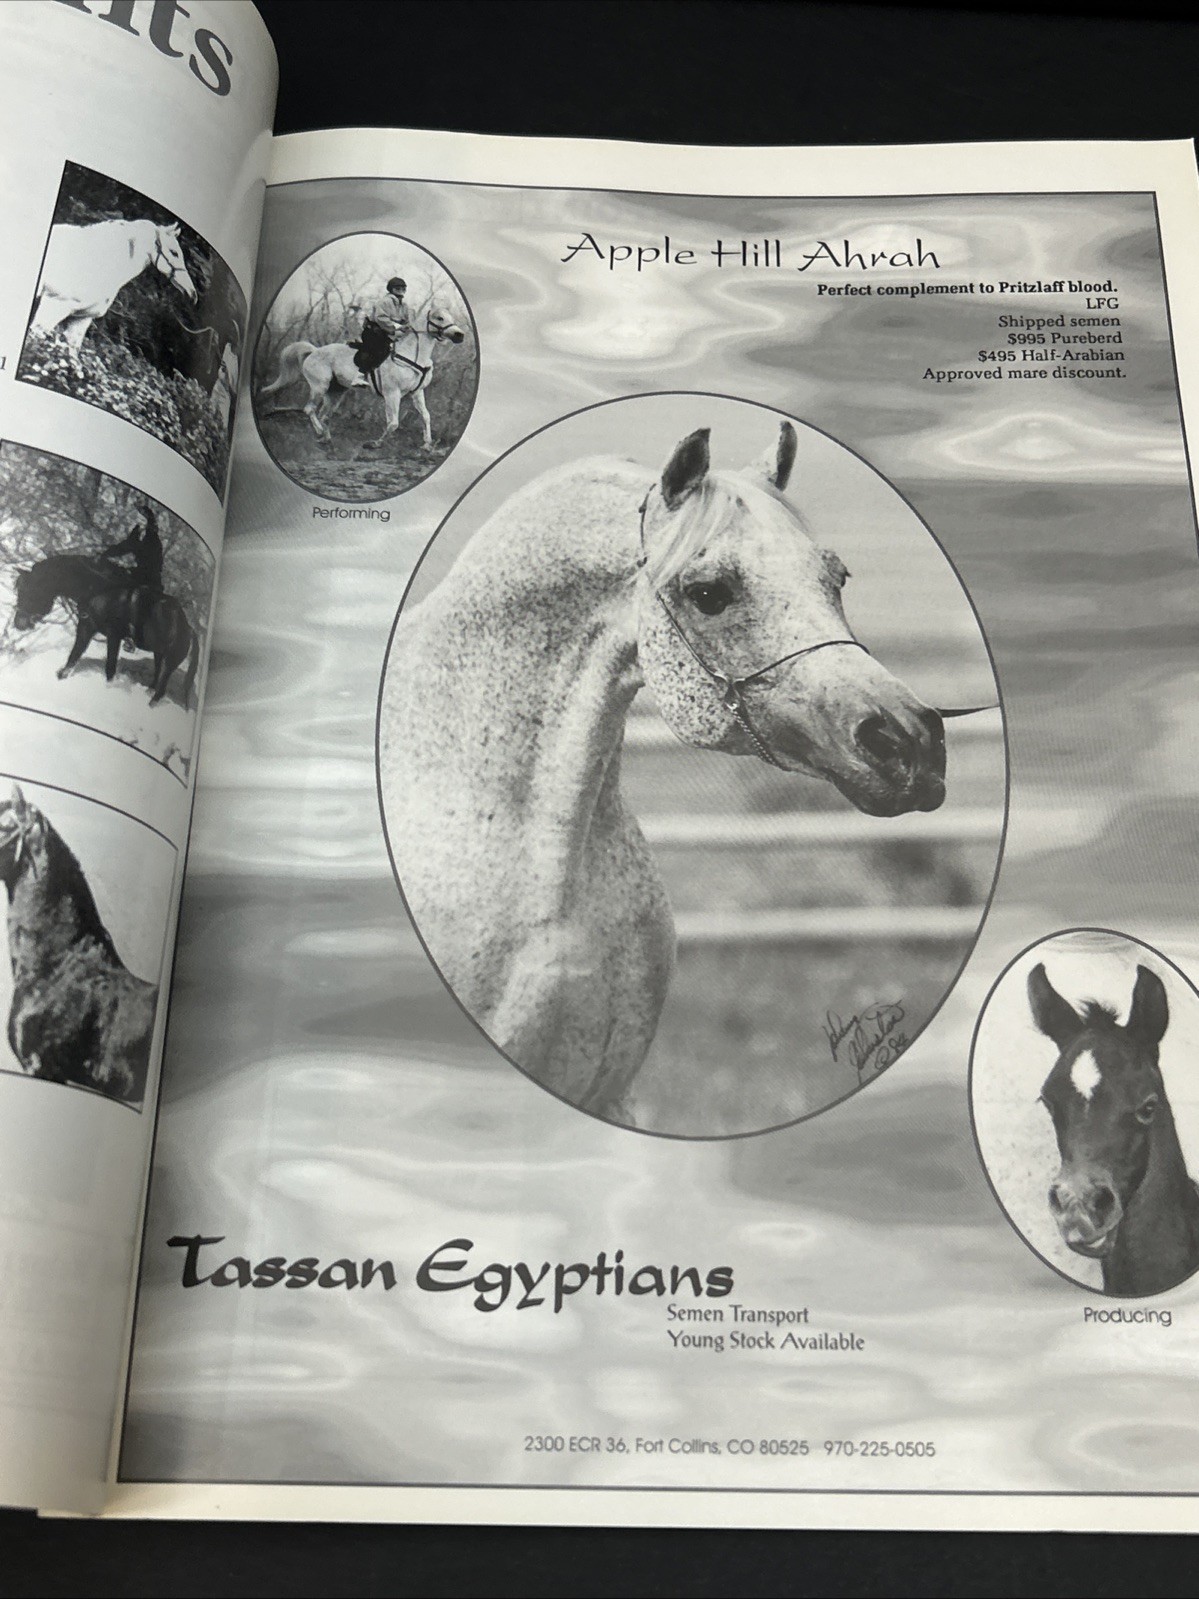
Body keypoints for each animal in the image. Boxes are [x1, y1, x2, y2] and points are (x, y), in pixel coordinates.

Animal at [12, 553, 201, 709]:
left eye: (32, 590)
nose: (18, 623)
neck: (100, 590)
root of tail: (189, 629)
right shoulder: (86, 627)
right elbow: (75, 654)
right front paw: (62, 676)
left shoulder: (114, 636)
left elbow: (110, 666)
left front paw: (107, 689)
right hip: (158, 652)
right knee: (157, 674)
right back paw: (148, 691)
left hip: (171, 659)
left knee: (162, 684)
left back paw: (151, 705)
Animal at [258, 294, 466, 449]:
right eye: (439, 318)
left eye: (450, 318)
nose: (459, 335)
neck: (412, 354)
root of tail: (314, 351)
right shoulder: (392, 393)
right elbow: (393, 423)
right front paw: (375, 444)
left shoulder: (417, 393)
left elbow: (426, 416)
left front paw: (427, 445)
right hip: (319, 386)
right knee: (309, 409)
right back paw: (319, 432)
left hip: (336, 392)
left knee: (325, 415)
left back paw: (326, 439)